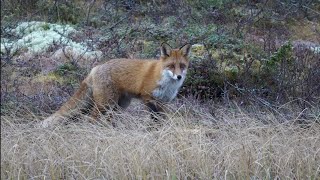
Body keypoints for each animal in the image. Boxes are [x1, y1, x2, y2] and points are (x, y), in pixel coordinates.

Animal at [40, 43, 190, 127]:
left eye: (182, 66)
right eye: (171, 66)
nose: (179, 76)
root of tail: (96, 68)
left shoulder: (164, 103)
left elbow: (160, 120)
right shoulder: (148, 98)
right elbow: (155, 119)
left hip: (118, 106)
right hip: (105, 104)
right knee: (91, 119)